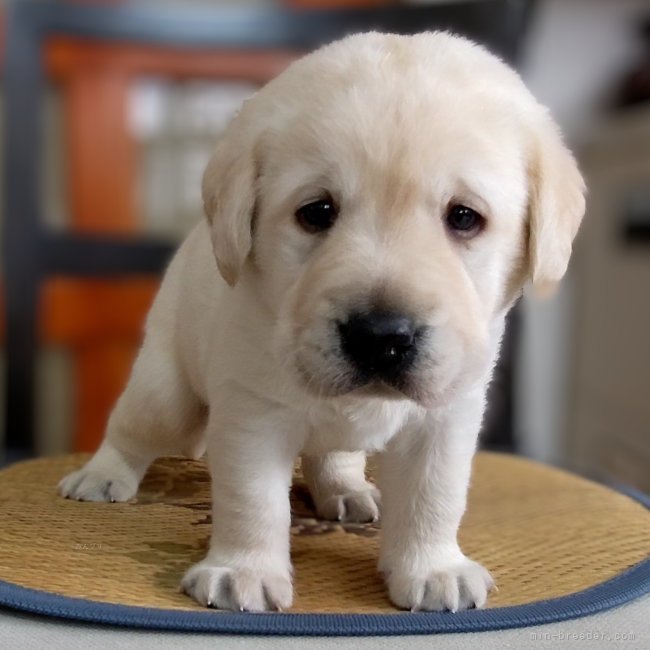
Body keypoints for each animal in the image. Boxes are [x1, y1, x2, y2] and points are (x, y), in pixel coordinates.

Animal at [58, 33, 584, 612]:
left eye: (464, 217)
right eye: (317, 211)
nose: (381, 336)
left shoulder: (445, 417)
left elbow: (434, 495)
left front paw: (433, 567)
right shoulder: (252, 415)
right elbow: (252, 500)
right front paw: (243, 571)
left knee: (332, 455)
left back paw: (347, 492)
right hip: (166, 393)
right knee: (132, 428)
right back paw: (100, 477)